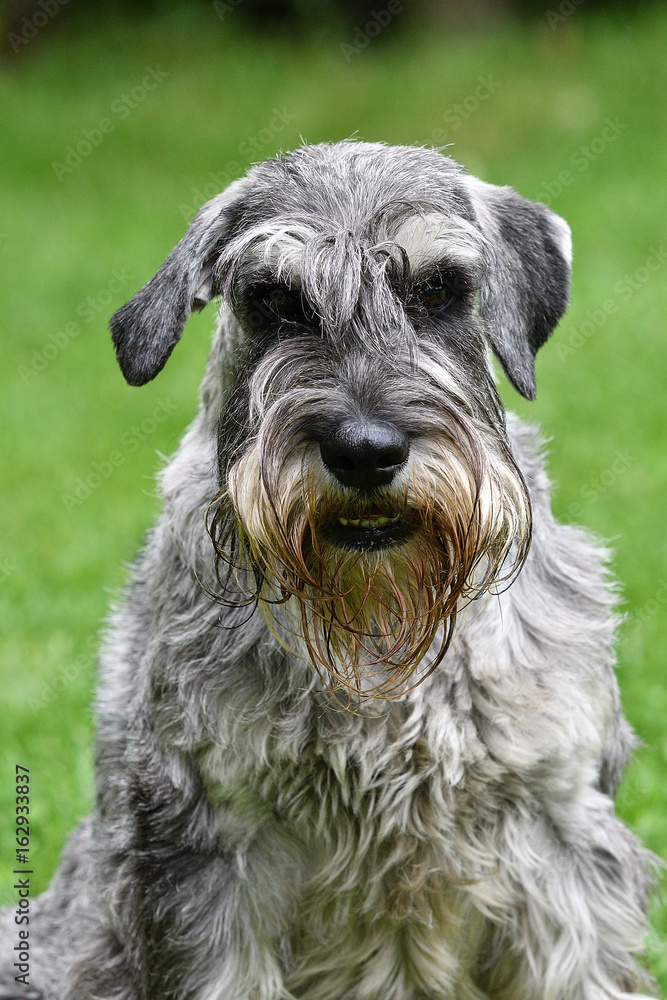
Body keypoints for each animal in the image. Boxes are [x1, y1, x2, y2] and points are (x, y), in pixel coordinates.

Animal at [0, 143, 656, 1000]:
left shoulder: (560, 833)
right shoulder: (207, 848)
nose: (364, 451)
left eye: (437, 288)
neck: (377, 625)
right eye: (274, 300)